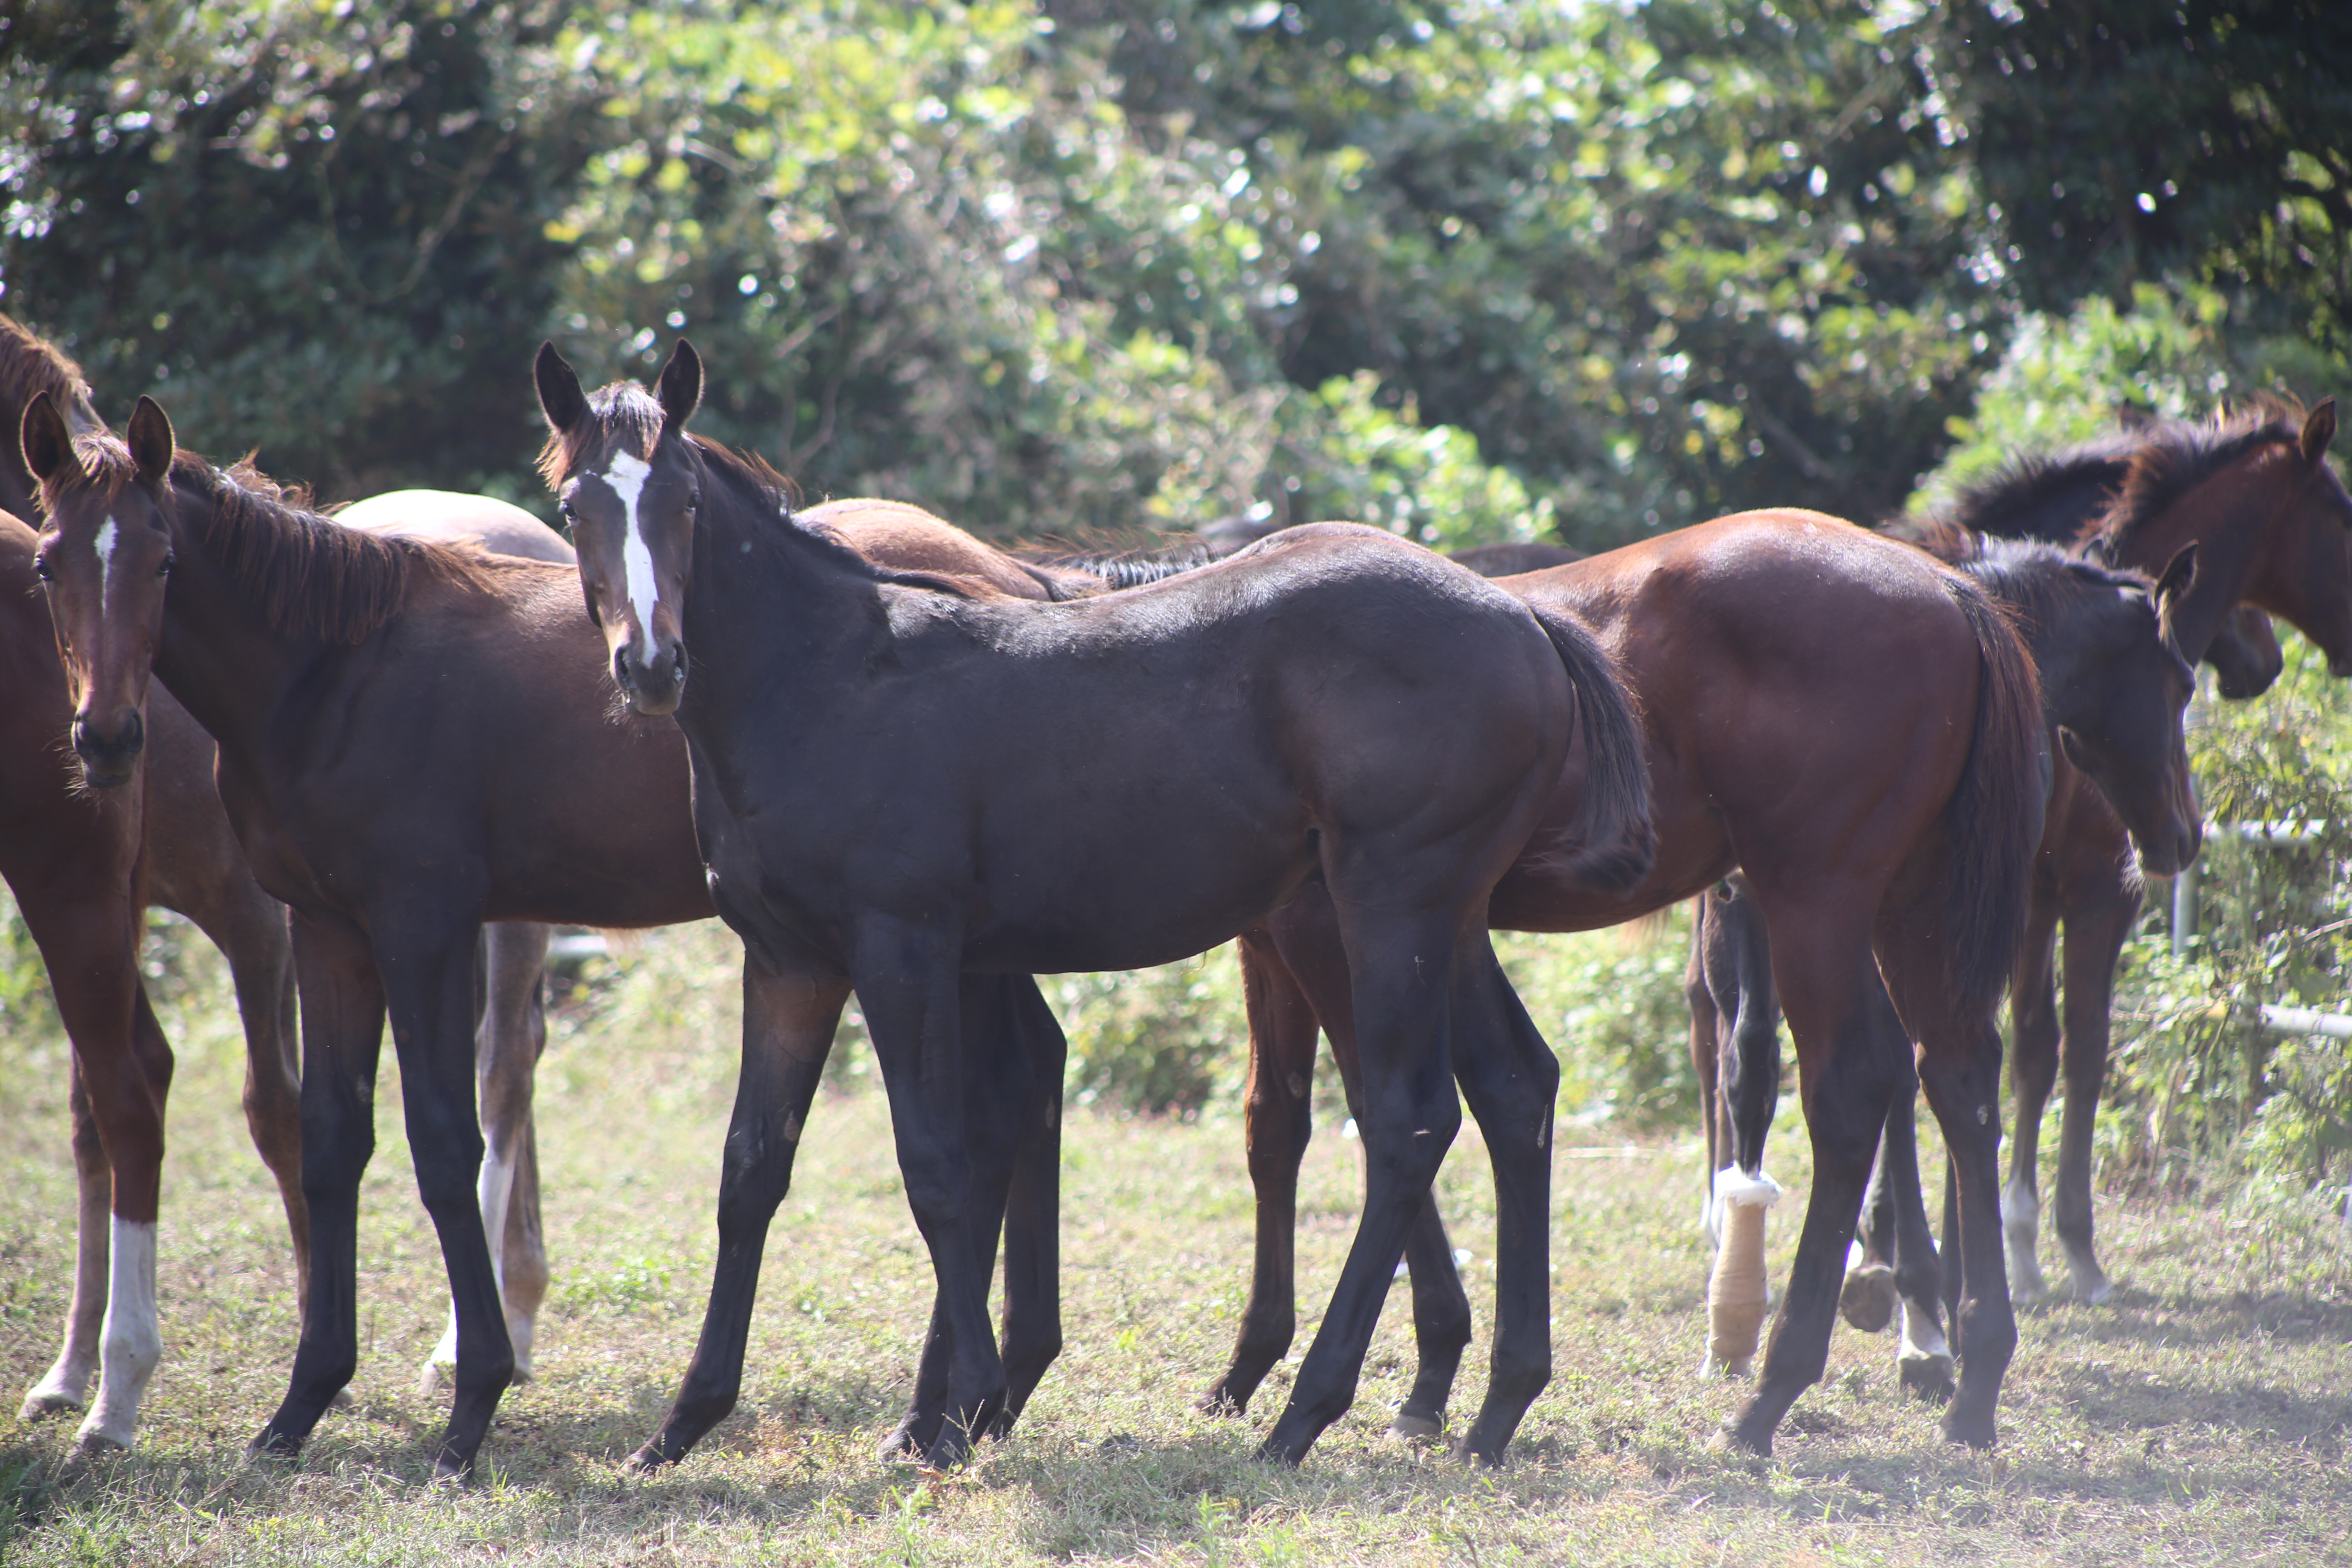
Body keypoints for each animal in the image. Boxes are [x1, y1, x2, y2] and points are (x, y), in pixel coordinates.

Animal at [23, 392, 1072, 1486]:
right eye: (47, 565)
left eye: (163, 563)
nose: (105, 740)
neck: (338, 673)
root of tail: (1014, 579)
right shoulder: (329, 928)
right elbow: (331, 1140)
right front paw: (301, 1404)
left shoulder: (423, 923)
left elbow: (446, 1140)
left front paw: (473, 1396)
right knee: (1026, 1078)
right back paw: (976, 1394)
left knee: (994, 1104)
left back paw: (950, 1409)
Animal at [536, 339, 1656, 1476]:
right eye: (573, 507)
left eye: (681, 500)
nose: (650, 666)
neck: (825, 681)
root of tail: (1523, 616)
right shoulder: (788, 963)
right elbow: (749, 1172)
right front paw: (681, 1424)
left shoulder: (900, 946)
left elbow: (935, 1164)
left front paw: (961, 1408)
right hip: (1448, 916)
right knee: (1514, 1090)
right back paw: (1497, 1407)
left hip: (1392, 904)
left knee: (1406, 1117)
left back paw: (1305, 1412)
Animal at [1204, 510, 2051, 1457]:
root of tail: (1944, 589)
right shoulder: (1277, 945)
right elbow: (1276, 1126)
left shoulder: (1323, 934)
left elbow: (1367, 1111)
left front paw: (1397, 1374)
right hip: (1916, 904)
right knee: (1960, 1081)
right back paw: (1974, 1381)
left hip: (1816, 900)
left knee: (1855, 1088)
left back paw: (1775, 1394)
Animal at [1693, 531, 2201, 1382]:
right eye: (2183, 684)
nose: (2184, 835)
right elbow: (1961, 1081)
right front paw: (1939, 1295)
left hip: (1768, 922)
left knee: (1751, 1062)